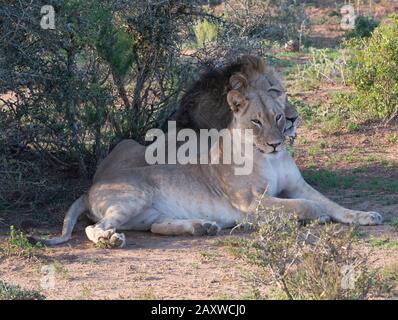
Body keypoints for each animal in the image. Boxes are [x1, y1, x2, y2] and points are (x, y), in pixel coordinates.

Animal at [35, 55, 382, 248]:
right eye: (256, 120)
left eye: (278, 115)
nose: (278, 140)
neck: (267, 156)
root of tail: (90, 187)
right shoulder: (251, 203)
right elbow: (307, 206)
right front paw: (319, 216)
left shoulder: (297, 185)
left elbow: (331, 203)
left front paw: (364, 215)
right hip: (133, 198)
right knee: (94, 228)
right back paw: (111, 241)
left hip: (148, 212)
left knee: (156, 225)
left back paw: (201, 226)